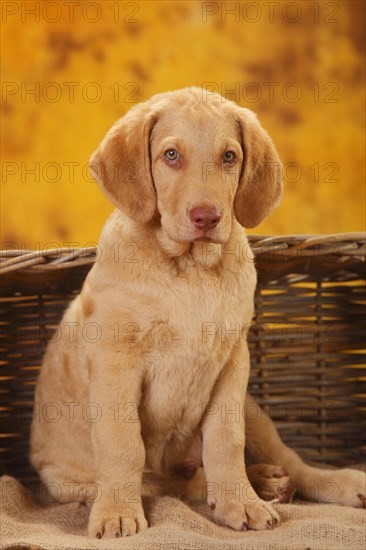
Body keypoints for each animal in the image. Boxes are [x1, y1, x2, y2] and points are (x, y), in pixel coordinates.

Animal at [30, 88, 364, 540]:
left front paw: (240, 501)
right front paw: (117, 512)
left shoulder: (233, 362)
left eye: (229, 156)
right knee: (170, 482)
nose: (207, 217)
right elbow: (123, 445)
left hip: (254, 410)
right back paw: (260, 482)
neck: (190, 268)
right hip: (65, 481)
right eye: (170, 155)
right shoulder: (116, 362)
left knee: (287, 461)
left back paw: (301, 481)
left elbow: (225, 441)